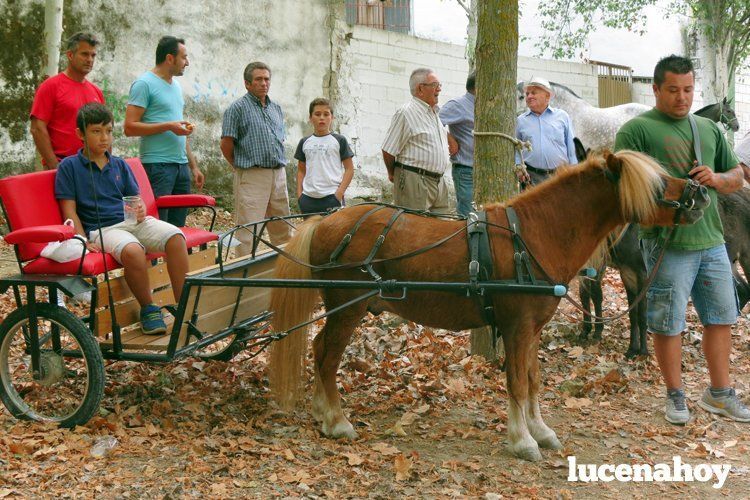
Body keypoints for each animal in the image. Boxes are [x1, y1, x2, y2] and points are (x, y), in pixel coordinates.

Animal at [266, 151, 712, 460]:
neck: (531, 236)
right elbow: (516, 381)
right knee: (326, 357)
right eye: (658, 186)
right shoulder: (516, 328)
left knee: (319, 351)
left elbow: (532, 380)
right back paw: (337, 421)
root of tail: (325, 221)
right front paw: (522, 440)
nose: (701, 191)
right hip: (347, 310)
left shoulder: (530, 331)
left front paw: (540, 430)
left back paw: (322, 412)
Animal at [580, 189, 750, 358]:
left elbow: (640, 314)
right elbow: (631, 313)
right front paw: (631, 348)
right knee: (743, 289)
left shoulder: (642, 272)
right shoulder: (626, 272)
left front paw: (643, 351)